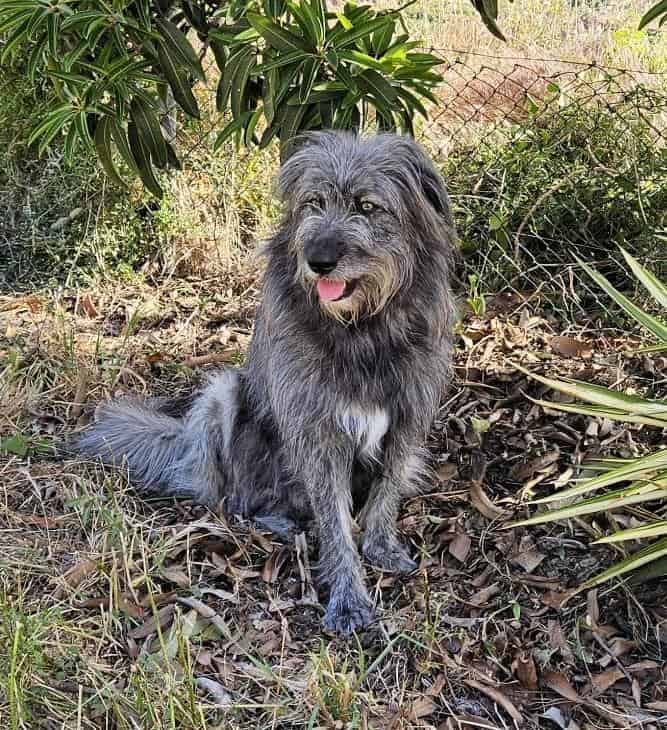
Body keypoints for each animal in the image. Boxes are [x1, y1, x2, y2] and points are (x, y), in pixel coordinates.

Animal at [75, 131, 456, 632]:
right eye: (314, 202)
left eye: (367, 206)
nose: (318, 260)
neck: (361, 331)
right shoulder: (317, 434)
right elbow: (335, 523)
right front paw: (348, 598)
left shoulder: (408, 418)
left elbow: (387, 492)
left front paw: (380, 546)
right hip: (222, 396)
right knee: (234, 499)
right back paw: (276, 521)